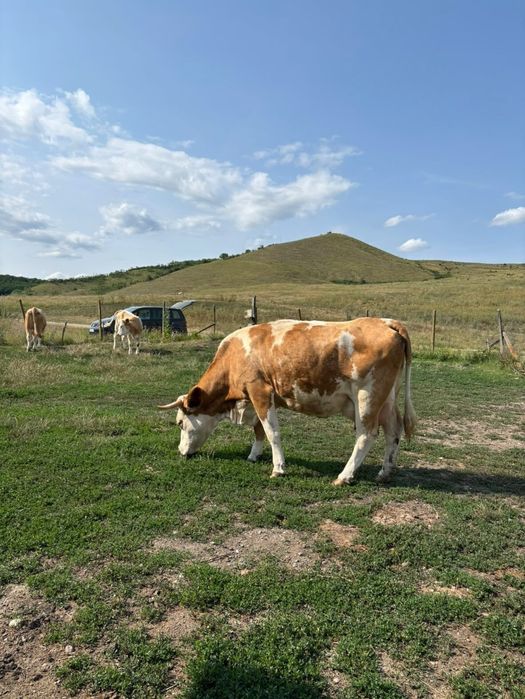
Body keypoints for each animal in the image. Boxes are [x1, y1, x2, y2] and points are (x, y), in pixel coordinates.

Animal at [159, 317, 416, 485]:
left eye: (180, 423)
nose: (180, 451)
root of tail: (386, 322)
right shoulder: (256, 396)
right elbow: (258, 430)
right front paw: (253, 455)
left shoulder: (259, 390)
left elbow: (271, 431)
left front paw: (278, 468)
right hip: (387, 399)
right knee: (393, 431)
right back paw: (384, 472)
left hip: (367, 398)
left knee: (366, 435)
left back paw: (344, 476)